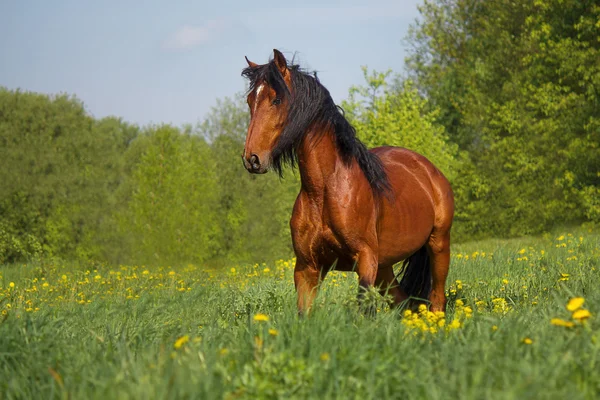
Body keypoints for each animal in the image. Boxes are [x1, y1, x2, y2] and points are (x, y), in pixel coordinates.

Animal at [241, 50, 452, 314]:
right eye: (250, 101)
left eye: (276, 100)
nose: (252, 159)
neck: (325, 191)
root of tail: (428, 169)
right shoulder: (307, 268)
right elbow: (304, 313)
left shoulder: (365, 260)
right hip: (384, 267)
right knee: (403, 302)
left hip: (439, 245)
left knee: (437, 299)